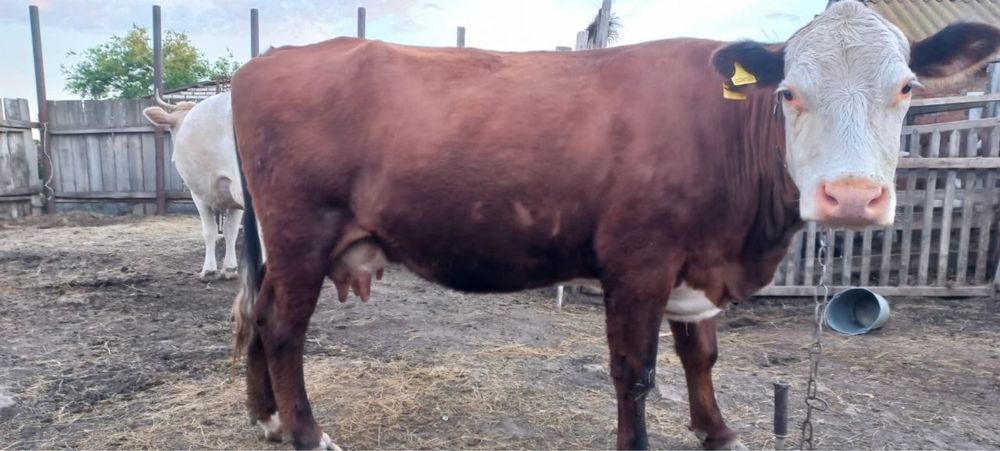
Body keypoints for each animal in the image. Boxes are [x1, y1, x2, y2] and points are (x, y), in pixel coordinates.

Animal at [143, 92, 244, 281]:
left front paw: (209, 270)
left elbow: (210, 231)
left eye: (171, 127)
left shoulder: (198, 194)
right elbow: (230, 231)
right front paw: (229, 268)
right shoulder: (233, 199)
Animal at [228, 2, 999, 449]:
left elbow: (701, 354)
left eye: (905, 87)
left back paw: (265, 416)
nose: (851, 198)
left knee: (255, 313)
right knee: (283, 328)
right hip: (301, 232)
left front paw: (718, 432)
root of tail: (267, 61)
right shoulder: (639, 262)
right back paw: (306, 433)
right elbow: (634, 372)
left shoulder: (696, 265)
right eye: (787, 92)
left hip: (285, 246)